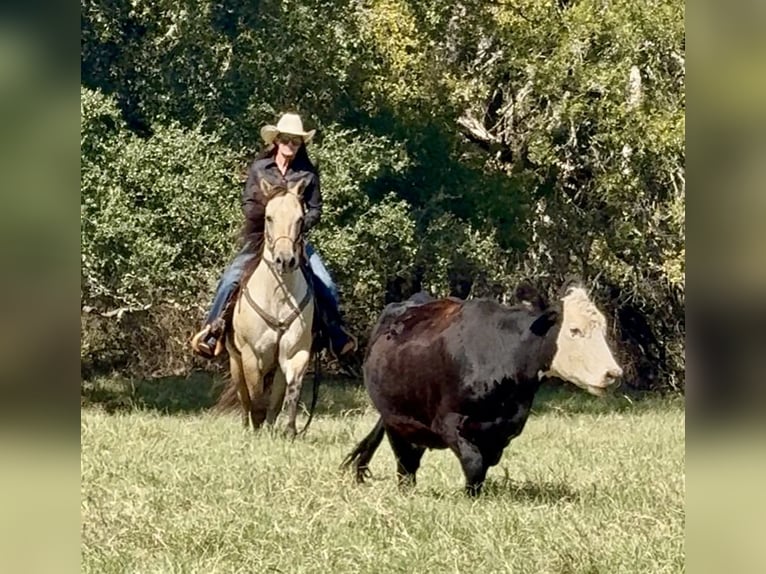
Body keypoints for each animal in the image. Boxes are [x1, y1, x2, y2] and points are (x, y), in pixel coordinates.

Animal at [223, 177, 316, 438]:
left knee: (275, 396)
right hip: (234, 361)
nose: (285, 261)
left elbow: (291, 391)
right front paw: (256, 427)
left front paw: (290, 430)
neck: (278, 297)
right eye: (269, 217)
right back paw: (249, 427)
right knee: (244, 397)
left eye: (300, 219)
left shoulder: (297, 352)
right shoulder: (250, 355)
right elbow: (255, 395)